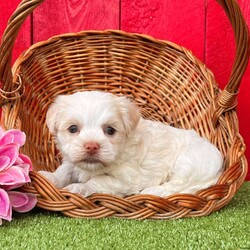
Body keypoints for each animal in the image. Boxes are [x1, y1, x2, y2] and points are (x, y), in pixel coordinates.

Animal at [39, 90, 223, 197]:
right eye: (73, 129)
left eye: (110, 130)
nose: (91, 146)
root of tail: (220, 165)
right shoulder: (72, 162)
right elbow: (63, 171)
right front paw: (48, 178)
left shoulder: (127, 179)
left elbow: (98, 180)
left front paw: (78, 188)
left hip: (188, 162)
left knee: (176, 185)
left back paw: (151, 192)